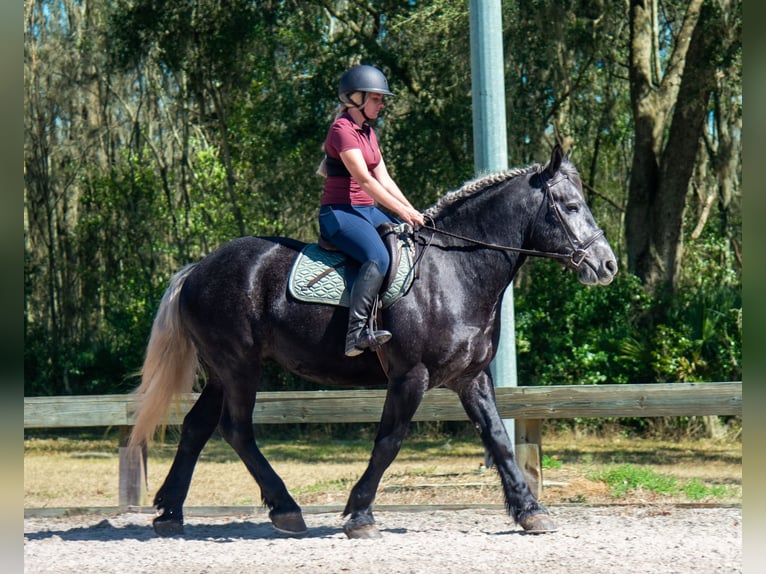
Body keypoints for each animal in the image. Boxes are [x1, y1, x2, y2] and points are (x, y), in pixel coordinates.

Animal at [129, 144, 618, 539]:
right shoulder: (410, 376)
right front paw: (360, 515)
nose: (607, 265)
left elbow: (497, 438)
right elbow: (389, 441)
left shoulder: (472, 377)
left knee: (197, 427)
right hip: (239, 366)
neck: (456, 271)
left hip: (222, 370)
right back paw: (285, 509)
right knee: (236, 430)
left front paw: (530, 512)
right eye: (571, 205)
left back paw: (170, 514)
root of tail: (197, 269)